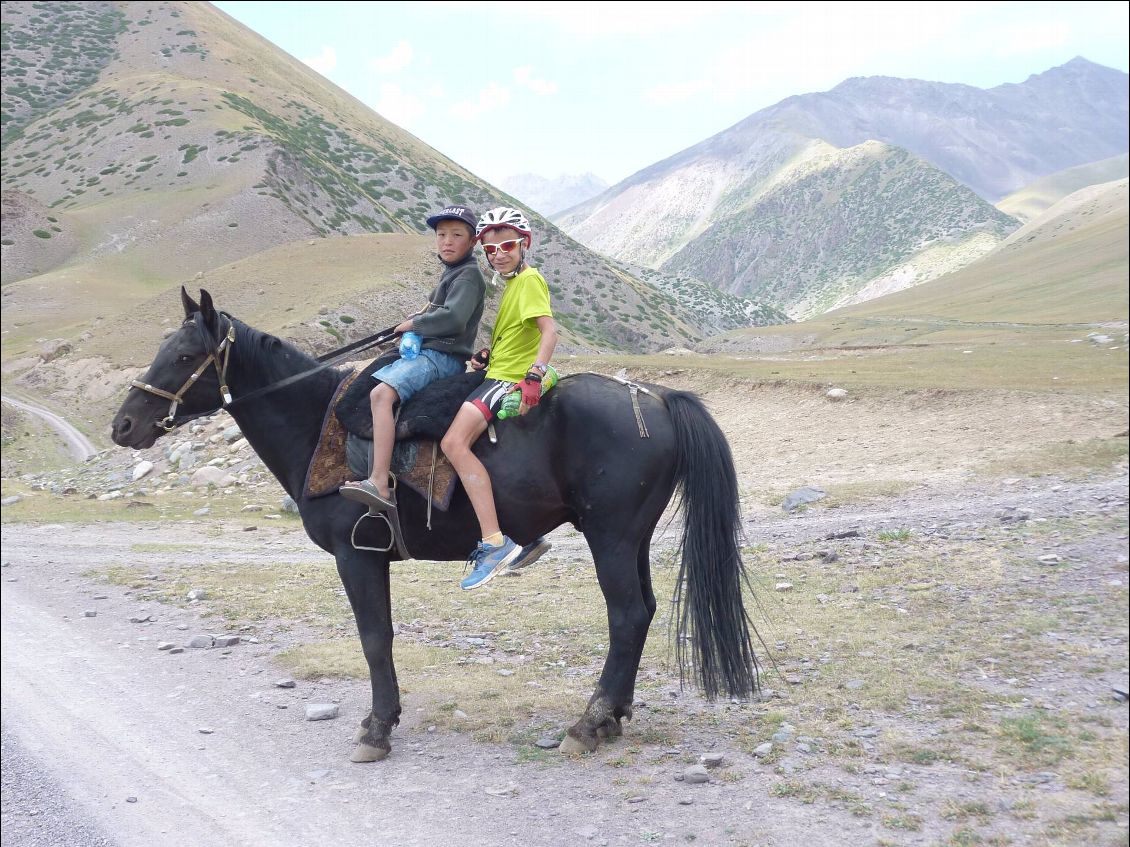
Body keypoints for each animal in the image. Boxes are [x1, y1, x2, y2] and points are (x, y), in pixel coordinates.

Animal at [112, 291, 759, 763]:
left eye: (183, 356)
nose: (123, 424)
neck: (316, 424)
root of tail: (655, 397)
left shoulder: (357, 555)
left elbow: (375, 638)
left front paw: (377, 729)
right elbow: (379, 637)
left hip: (612, 538)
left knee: (626, 616)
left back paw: (588, 722)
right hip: (631, 539)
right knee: (642, 612)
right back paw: (613, 716)